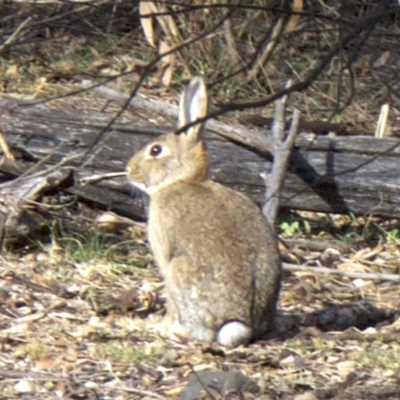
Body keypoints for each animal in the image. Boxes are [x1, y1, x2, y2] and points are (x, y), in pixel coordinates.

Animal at [126, 76, 282, 346]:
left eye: (155, 150)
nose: (128, 170)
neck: (181, 180)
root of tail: (242, 325)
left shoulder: (165, 257)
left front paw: (160, 327)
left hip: (180, 271)